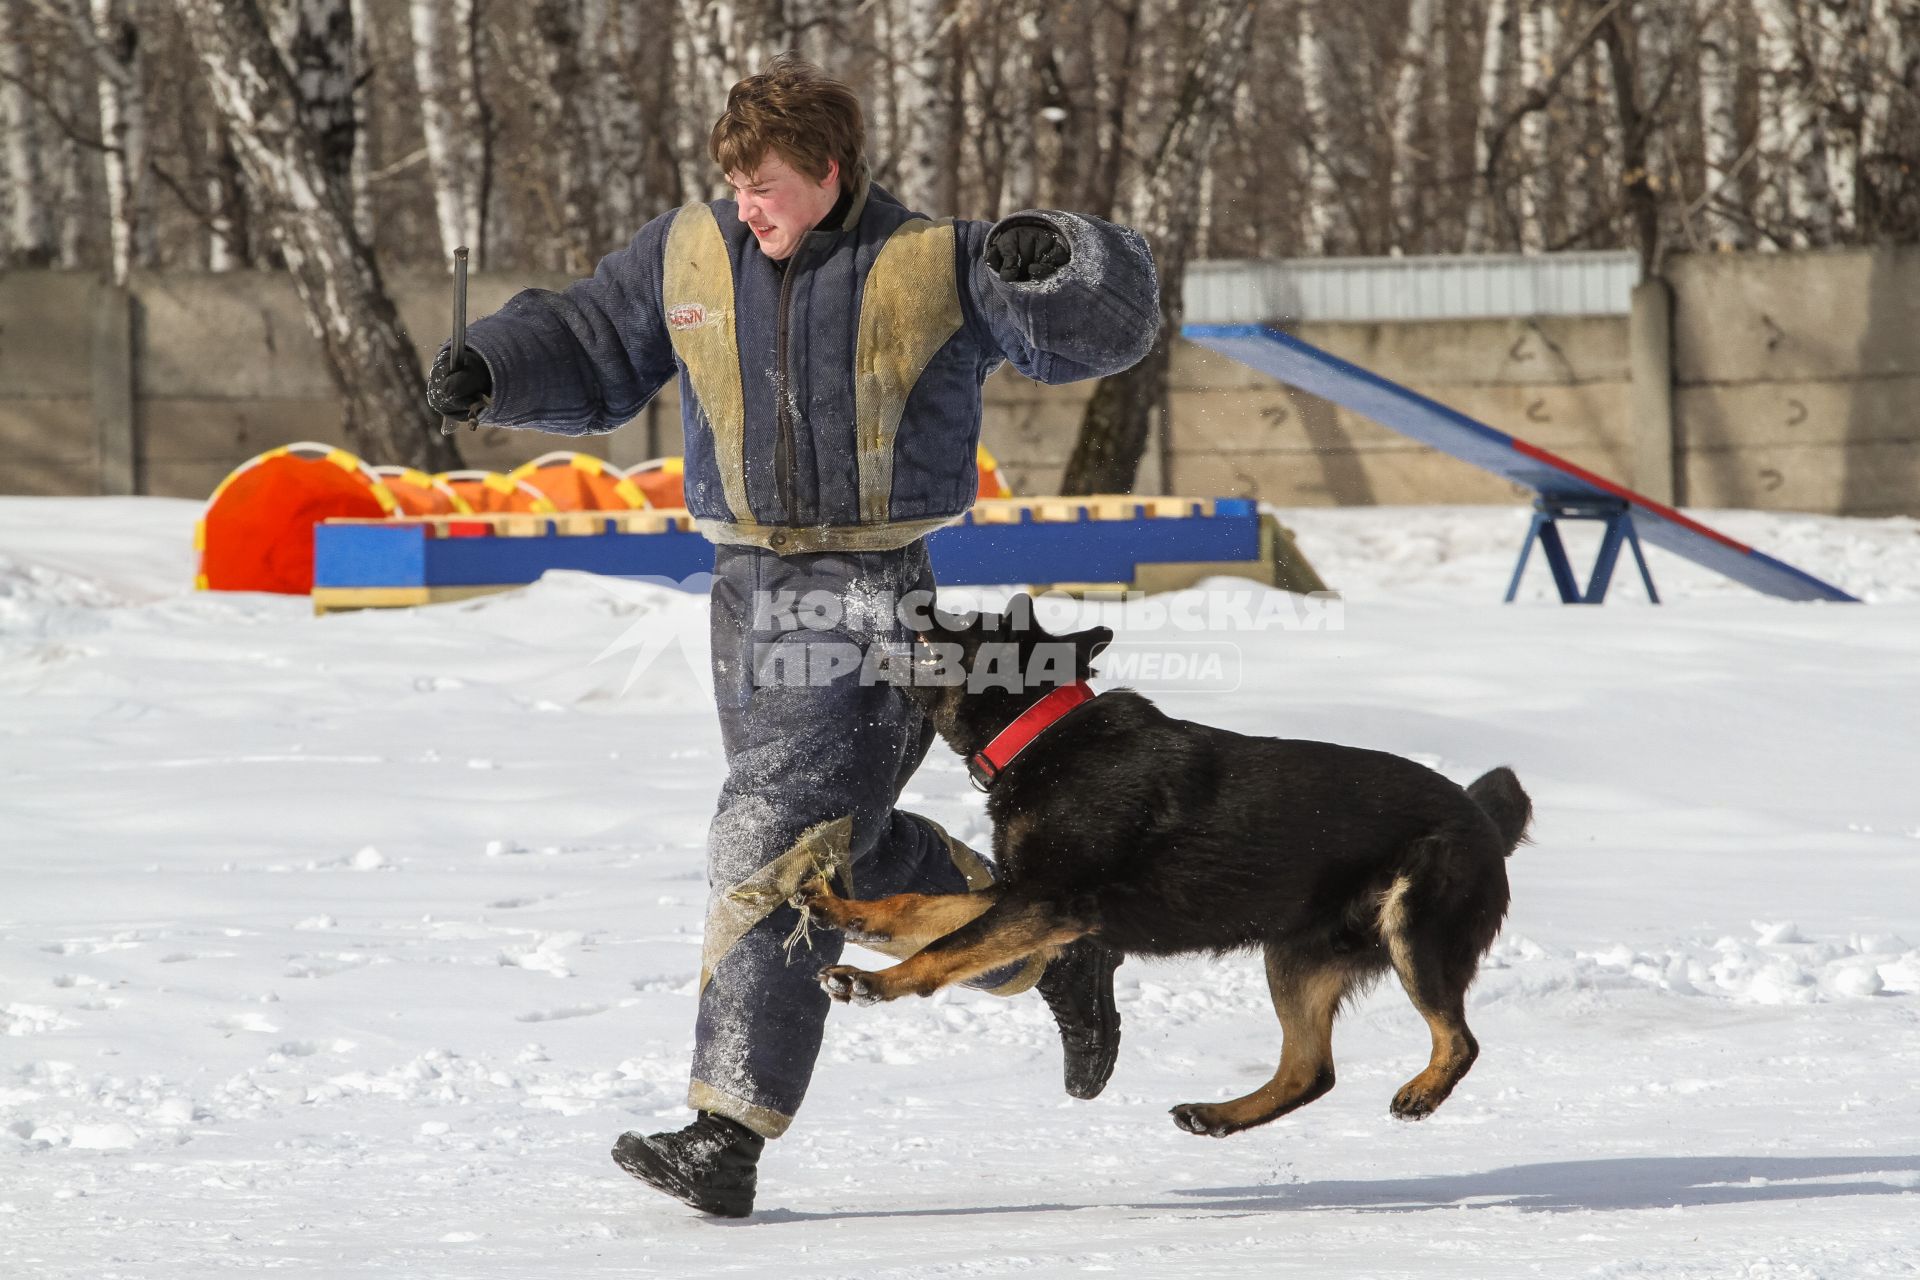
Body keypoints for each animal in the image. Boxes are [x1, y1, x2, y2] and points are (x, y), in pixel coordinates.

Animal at [794, 598, 1528, 1128]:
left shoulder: (1044, 903)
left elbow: (942, 949)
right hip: (1296, 954)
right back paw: (1219, 1115)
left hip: (1414, 930)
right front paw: (844, 910)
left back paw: (1422, 1091)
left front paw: (873, 981)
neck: (1040, 731)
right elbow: (920, 908)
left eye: (968, 624)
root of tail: (1484, 821)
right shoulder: (1023, 895)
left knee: (1458, 1039)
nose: (915, 598)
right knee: (1309, 1071)